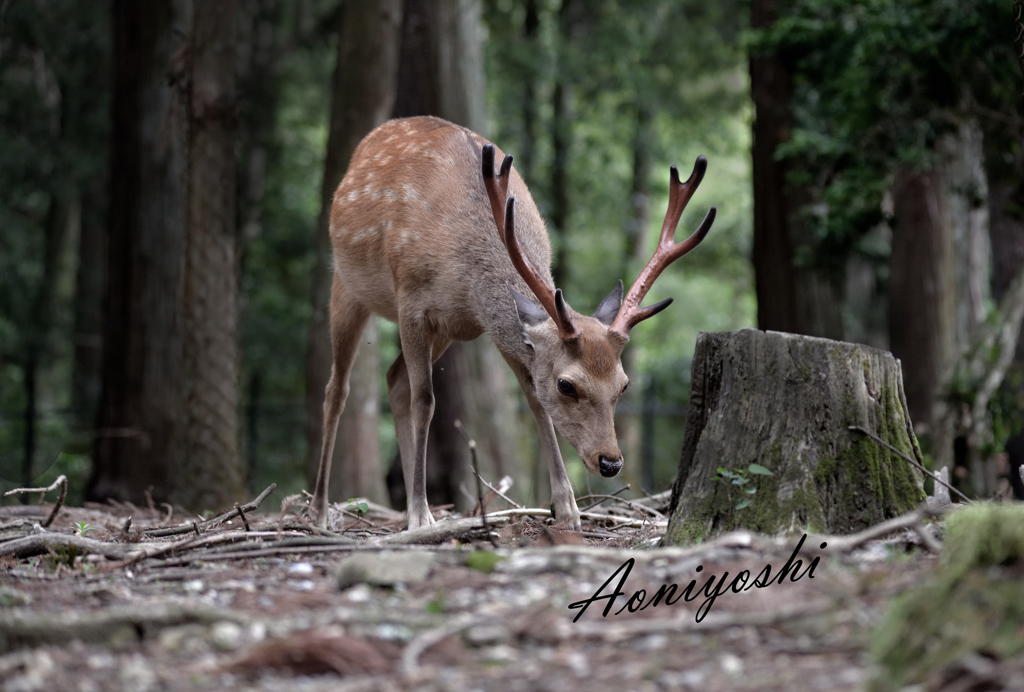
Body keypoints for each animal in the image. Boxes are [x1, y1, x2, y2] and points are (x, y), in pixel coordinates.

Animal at [307, 114, 716, 528]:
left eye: (624, 385)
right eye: (567, 385)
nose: (611, 462)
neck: (463, 280)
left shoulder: (496, 329)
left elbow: (534, 401)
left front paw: (567, 508)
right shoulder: (411, 302)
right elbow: (425, 400)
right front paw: (422, 517)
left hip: (443, 334)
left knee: (394, 379)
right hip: (345, 285)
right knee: (336, 390)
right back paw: (322, 511)